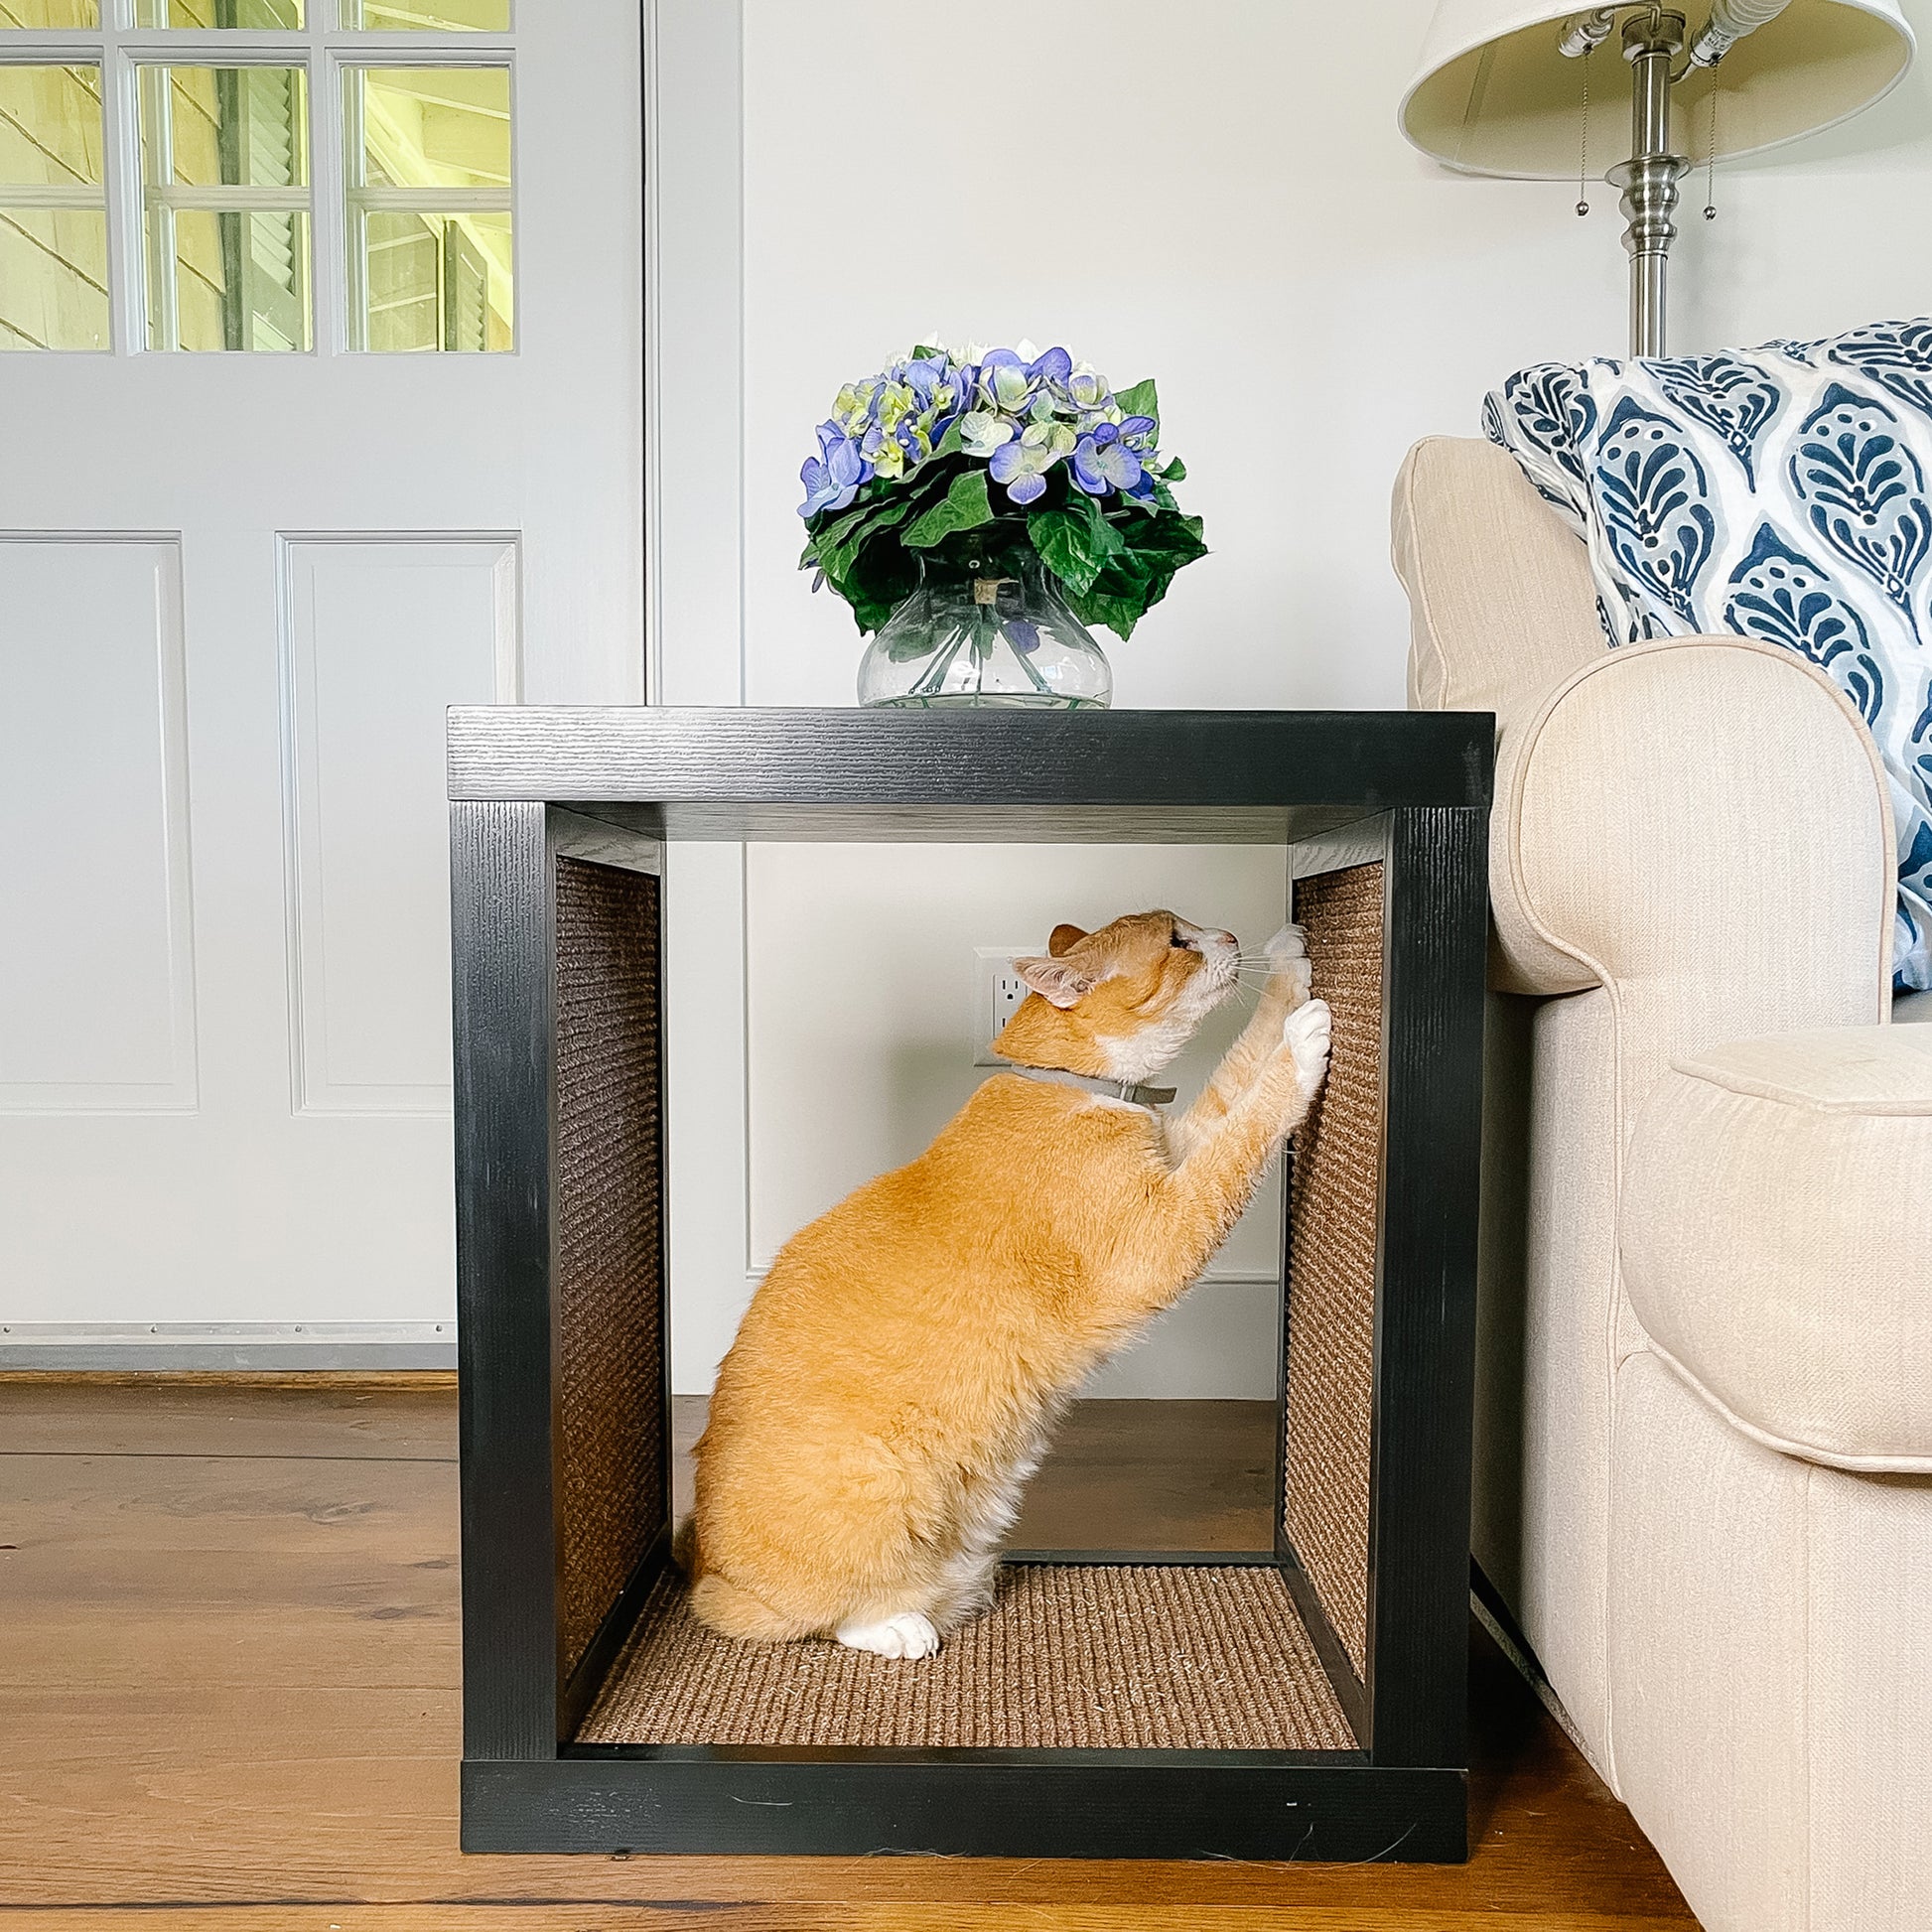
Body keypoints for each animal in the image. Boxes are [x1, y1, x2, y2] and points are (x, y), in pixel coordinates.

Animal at [687, 911, 1336, 1653]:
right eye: (1177, 940)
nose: (1228, 936)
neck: (1073, 1086)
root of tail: (702, 1565)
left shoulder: (1179, 1151)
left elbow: (1240, 1073)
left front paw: (1288, 963)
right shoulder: (1162, 1234)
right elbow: (1249, 1125)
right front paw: (1304, 1044)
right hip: (877, 1483)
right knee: (802, 1614)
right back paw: (901, 1626)